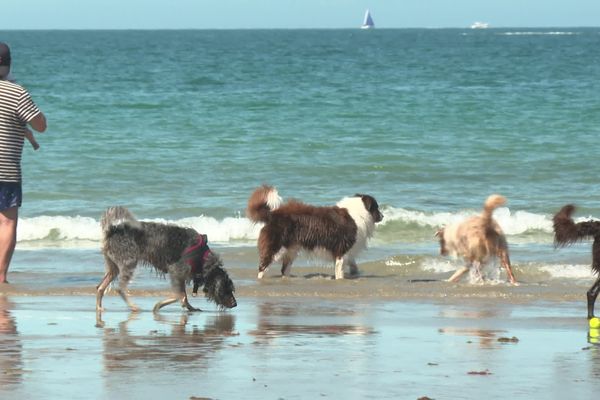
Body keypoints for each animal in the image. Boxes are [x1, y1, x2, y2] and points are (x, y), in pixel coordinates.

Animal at [96, 206, 237, 312]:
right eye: (226, 289)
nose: (235, 304)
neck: (202, 258)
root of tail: (113, 230)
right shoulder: (176, 271)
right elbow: (181, 295)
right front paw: (160, 305)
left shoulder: (181, 275)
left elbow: (183, 296)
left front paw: (190, 307)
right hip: (129, 263)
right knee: (120, 288)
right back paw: (133, 306)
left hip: (114, 267)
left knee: (100, 287)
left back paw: (99, 307)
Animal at [245, 186, 382, 280]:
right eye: (376, 207)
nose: (383, 216)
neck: (359, 212)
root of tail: (273, 214)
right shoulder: (341, 249)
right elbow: (340, 270)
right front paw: (341, 280)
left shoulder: (345, 251)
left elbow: (352, 264)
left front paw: (354, 273)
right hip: (275, 247)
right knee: (263, 266)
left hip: (291, 249)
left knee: (284, 269)